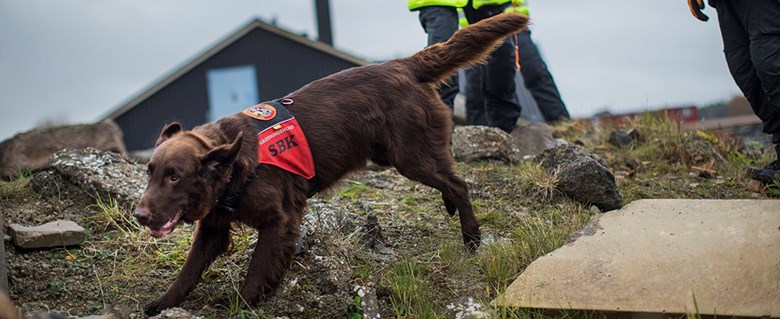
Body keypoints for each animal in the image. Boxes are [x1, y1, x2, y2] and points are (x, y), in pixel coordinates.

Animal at [136, 13, 532, 316]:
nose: (139, 216)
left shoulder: (279, 220)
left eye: (175, 176)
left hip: (410, 156)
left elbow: (256, 271)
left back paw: (471, 237)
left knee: (458, 183)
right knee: (449, 178)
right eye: (150, 173)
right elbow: (188, 271)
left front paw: (240, 303)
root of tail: (403, 64)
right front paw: (161, 303)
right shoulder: (214, 225)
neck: (233, 162)